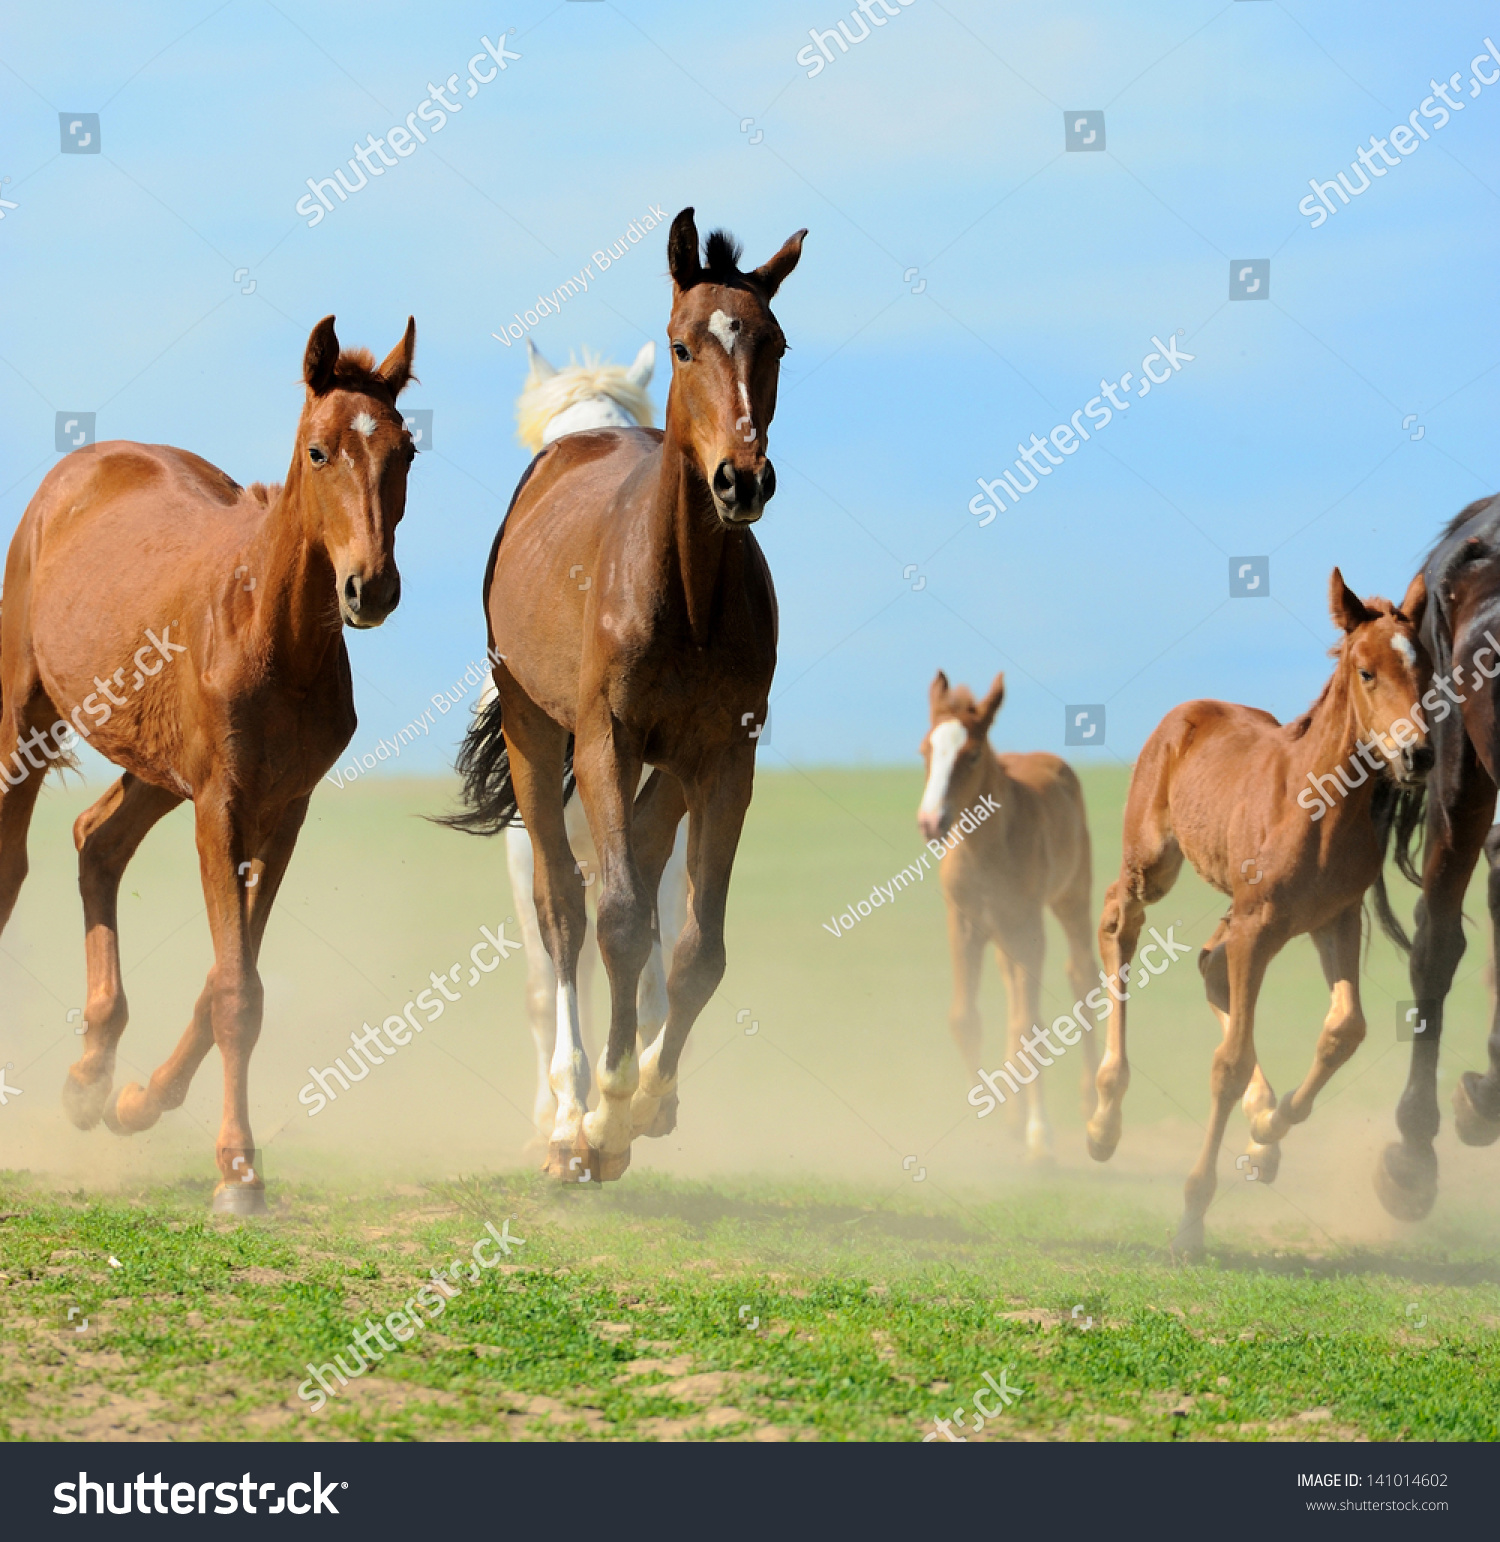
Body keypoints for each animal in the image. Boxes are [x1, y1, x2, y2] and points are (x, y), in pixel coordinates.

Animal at [12, 315, 418, 1213]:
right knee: (11, 858)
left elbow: (231, 980)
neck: (270, 636)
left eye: (405, 449)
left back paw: (91, 1078)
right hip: (23, 714)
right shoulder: (221, 807)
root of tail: (77, 471)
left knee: (98, 841)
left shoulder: (281, 812)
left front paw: (139, 1102)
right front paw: (237, 1170)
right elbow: (235, 990)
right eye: (319, 450)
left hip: (157, 770)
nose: (370, 590)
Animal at [444, 207, 805, 1181]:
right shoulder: (606, 742)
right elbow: (608, 922)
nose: (741, 480)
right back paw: (571, 1112)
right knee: (566, 918)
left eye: (774, 343)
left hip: (663, 780)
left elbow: (693, 950)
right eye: (684, 346)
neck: (682, 590)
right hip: (537, 747)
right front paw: (600, 1112)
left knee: (642, 905)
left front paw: (646, 1097)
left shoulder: (721, 759)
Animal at [918, 670, 1099, 1163]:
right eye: (925, 751)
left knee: (1083, 976)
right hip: (1002, 933)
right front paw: (992, 1119)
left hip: (1069, 900)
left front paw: (1041, 1138)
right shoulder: (963, 923)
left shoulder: (1026, 925)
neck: (984, 849)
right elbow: (965, 1017)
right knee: (1012, 990)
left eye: (972, 754)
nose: (931, 822)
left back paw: (1090, 1102)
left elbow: (1030, 1024)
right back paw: (1015, 1114)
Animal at [1089, 568, 1432, 1254]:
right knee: (1119, 919)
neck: (1319, 803)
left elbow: (1344, 1028)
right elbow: (1229, 1060)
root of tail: (1188, 710)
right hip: (1154, 860)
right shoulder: (1259, 924)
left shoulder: (1334, 918)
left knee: (1209, 966)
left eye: (1425, 665)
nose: (1418, 756)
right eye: (1366, 671)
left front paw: (1269, 1127)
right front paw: (1192, 1216)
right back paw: (1105, 1117)